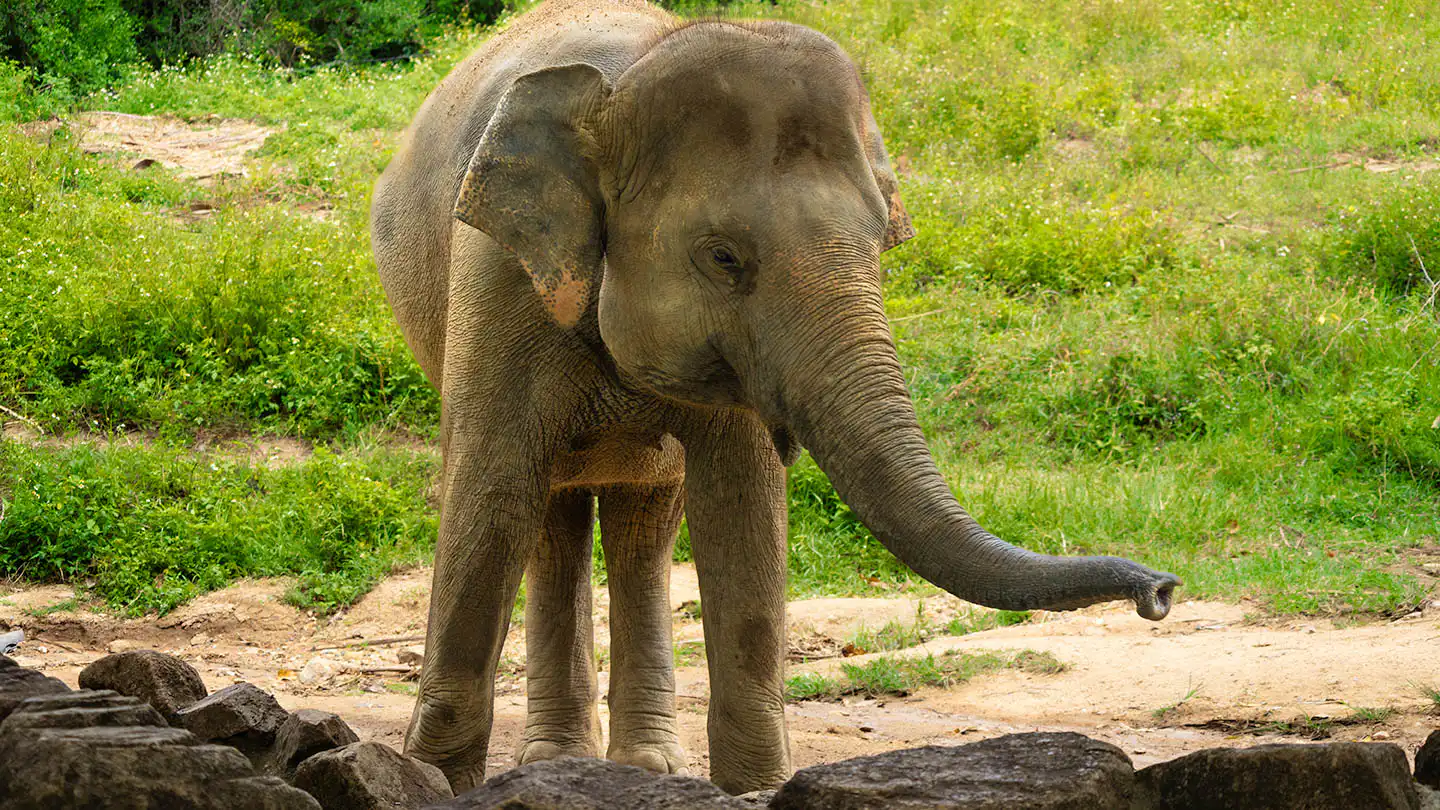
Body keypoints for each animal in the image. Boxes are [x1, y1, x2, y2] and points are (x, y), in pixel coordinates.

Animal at [370, 0, 1180, 795]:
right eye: (724, 257)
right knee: (550, 505)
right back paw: (559, 765)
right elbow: (492, 493)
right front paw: (430, 781)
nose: (1163, 591)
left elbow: (742, 509)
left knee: (643, 516)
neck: (627, 79)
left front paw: (755, 790)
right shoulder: (499, 277)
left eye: (883, 243)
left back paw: (638, 768)